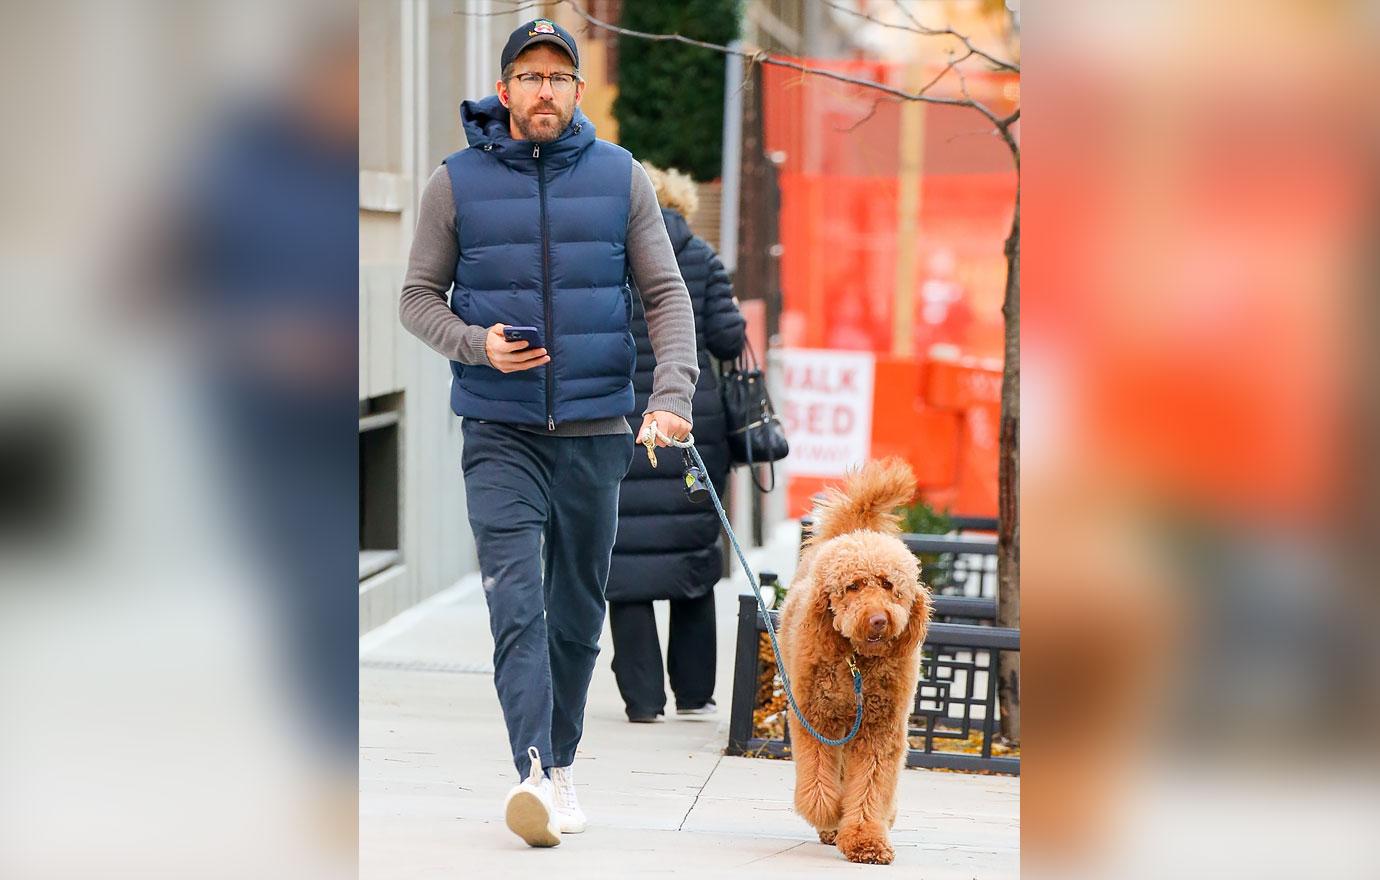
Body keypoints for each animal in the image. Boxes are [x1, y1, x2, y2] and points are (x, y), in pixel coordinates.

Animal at [783, 463, 932, 871]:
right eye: (853, 586)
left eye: (888, 584)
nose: (879, 620)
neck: (857, 664)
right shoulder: (815, 719)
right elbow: (819, 781)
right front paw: (829, 813)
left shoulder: (880, 732)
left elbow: (870, 787)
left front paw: (866, 839)